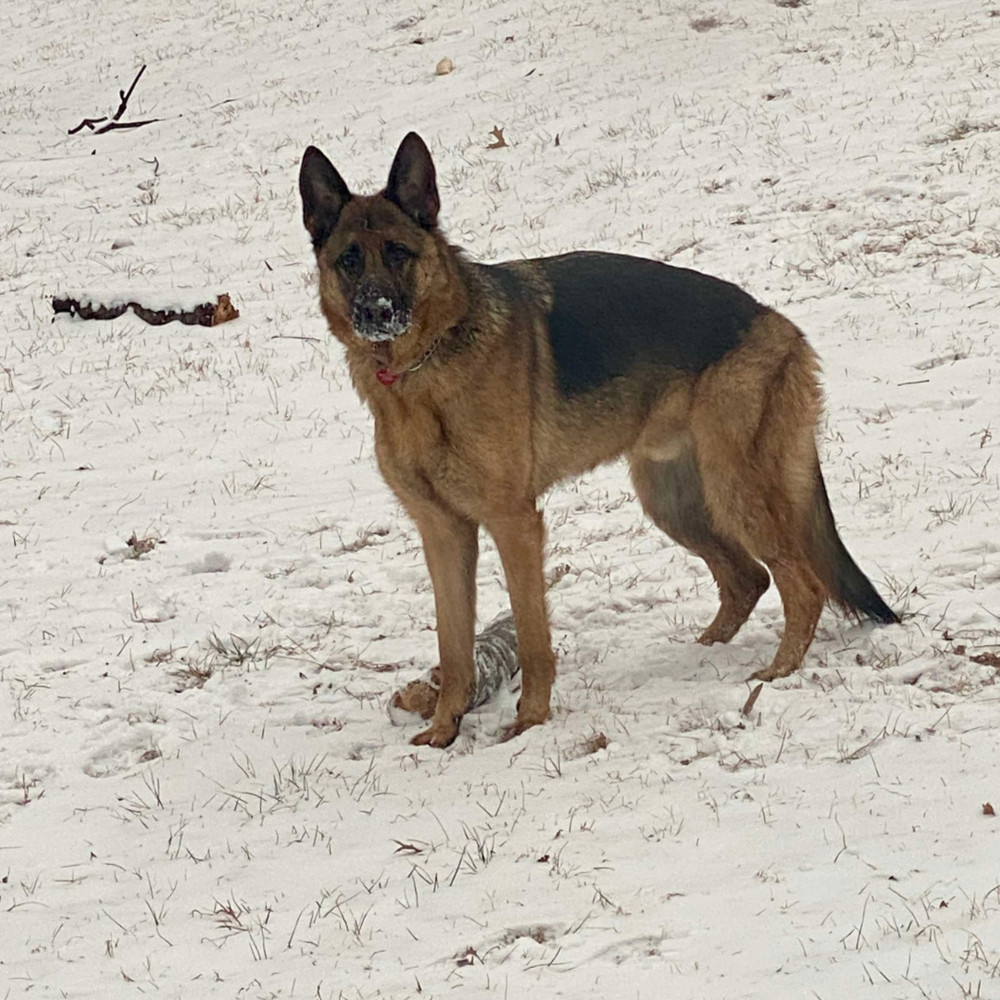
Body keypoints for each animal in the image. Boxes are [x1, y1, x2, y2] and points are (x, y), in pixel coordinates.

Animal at [296, 133, 900, 748]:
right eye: (349, 259)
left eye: (399, 253)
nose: (376, 312)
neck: (422, 369)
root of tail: (779, 324)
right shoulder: (442, 533)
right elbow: (454, 644)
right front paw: (444, 730)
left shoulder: (514, 523)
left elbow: (532, 636)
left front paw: (530, 721)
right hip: (674, 502)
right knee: (746, 578)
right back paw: (701, 654)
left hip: (734, 491)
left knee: (802, 583)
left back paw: (778, 671)